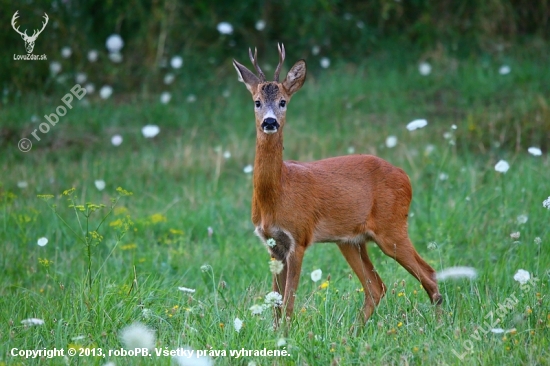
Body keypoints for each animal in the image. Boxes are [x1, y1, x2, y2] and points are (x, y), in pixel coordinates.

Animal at [233, 43, 444, 324]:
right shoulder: (273, 244)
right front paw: (276, 333)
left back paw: (440, 325)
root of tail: (404, 175)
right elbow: (275, 303)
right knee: (376, 286)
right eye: (257, 102)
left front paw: (286, 334)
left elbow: (288, 303)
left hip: (392, 227)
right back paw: (355, 331)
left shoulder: (299, 237)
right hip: (351, 240)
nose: (270, 122)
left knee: (429, 274)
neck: (277, 193)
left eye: (283, 102)